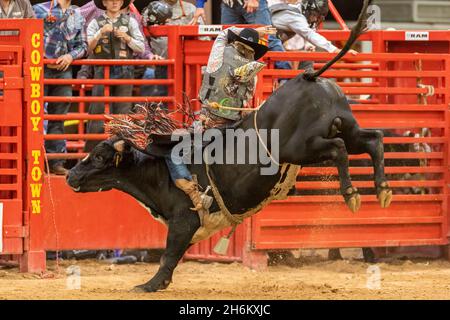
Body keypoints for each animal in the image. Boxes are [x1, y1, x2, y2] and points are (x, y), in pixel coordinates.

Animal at [68, 1, 388, 292]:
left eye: (99, 156)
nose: (70, 175)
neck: (158, 169)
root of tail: (307, 76)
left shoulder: (183, 220)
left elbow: (169, 254)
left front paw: (150, 285)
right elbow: (173, 255)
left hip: (301, 147)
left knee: (338, 148)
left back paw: (352, 194)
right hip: (347, 128)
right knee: (373, 139)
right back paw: (382, 190)